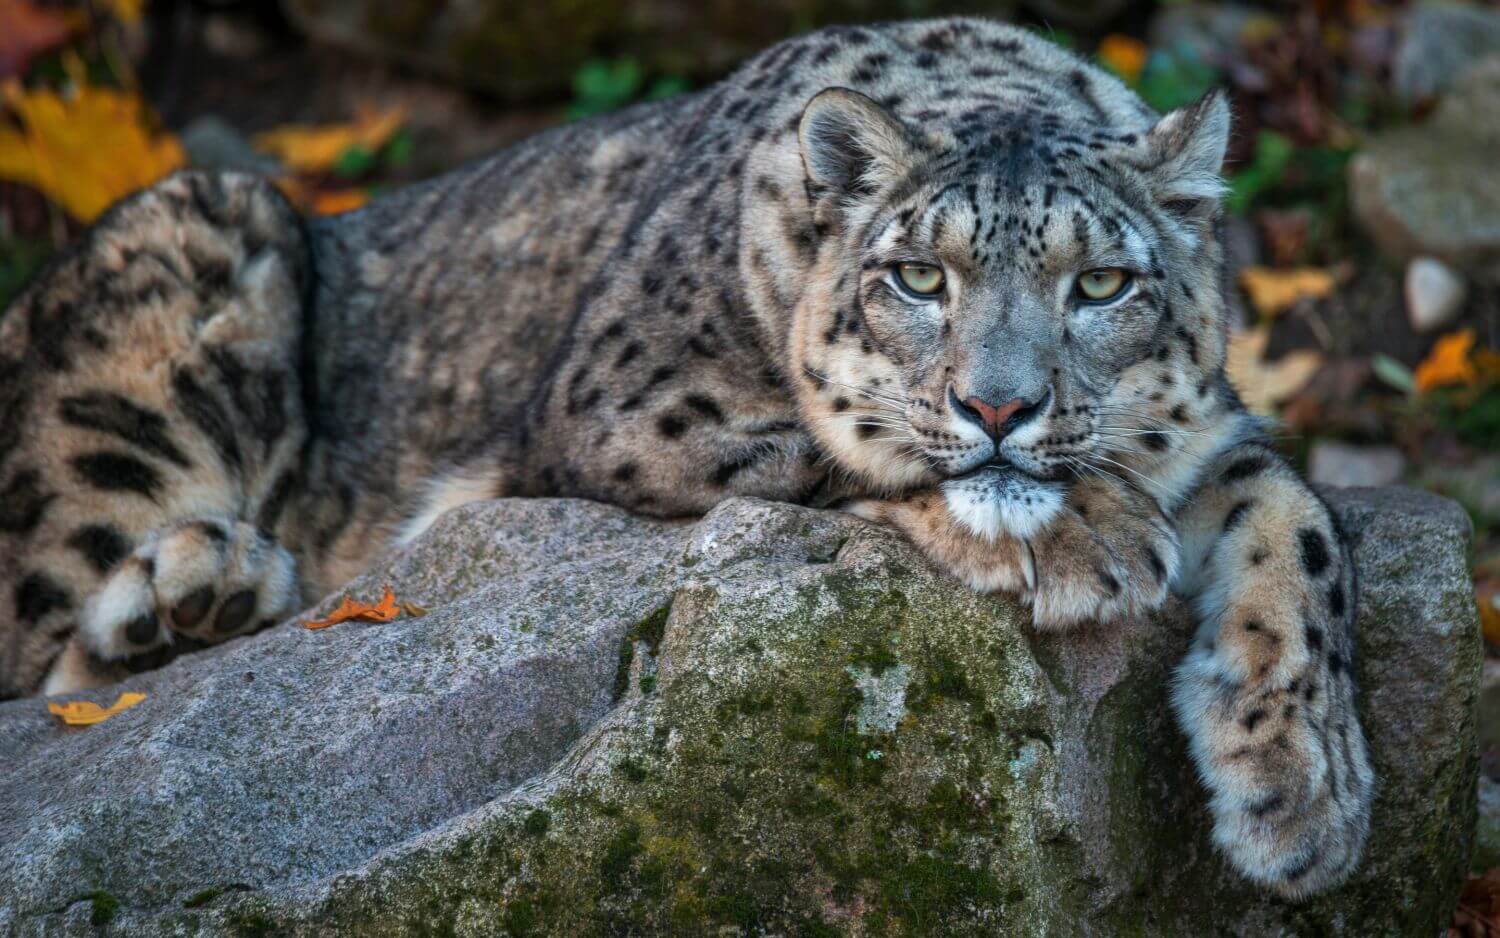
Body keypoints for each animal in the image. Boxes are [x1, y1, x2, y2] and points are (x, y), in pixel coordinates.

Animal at [0, 14, 1374, 894]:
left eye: (1100, 283)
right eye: (917, 276)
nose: (1000, 407)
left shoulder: (1214, 428)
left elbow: (1298, 515)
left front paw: (1302, 789)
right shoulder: (631, 409)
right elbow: (841, 448)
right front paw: (1088, 532)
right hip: (172, 288)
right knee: (38, 659)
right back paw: (190, 588)